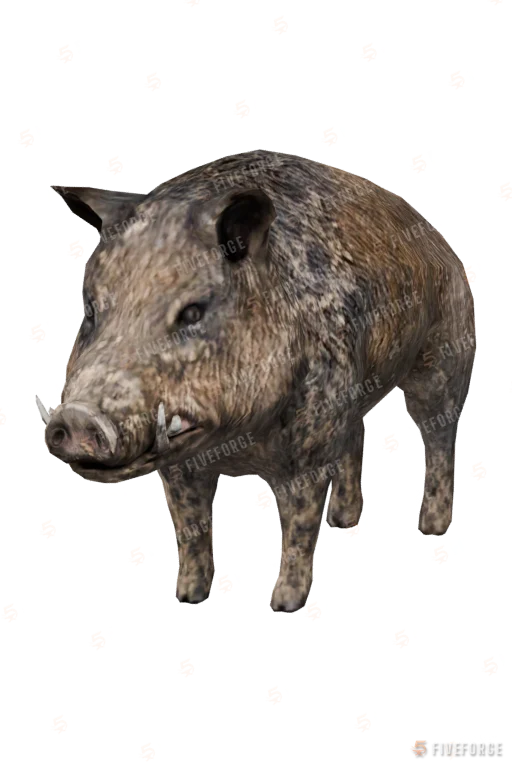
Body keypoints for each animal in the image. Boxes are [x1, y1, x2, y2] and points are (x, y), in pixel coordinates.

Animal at [43, 150, 476, 612]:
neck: (235, 445)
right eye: (90, 311)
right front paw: (189, 598)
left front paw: (283, 604)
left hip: (444, 356)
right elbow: (191, 527)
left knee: (439, 434)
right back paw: (344, 522)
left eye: (193, 311)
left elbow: (299, 522)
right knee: (357, 435)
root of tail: (439, 242)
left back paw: (432, 528)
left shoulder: (310, 438)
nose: (78, 417)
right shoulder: (179, 465)